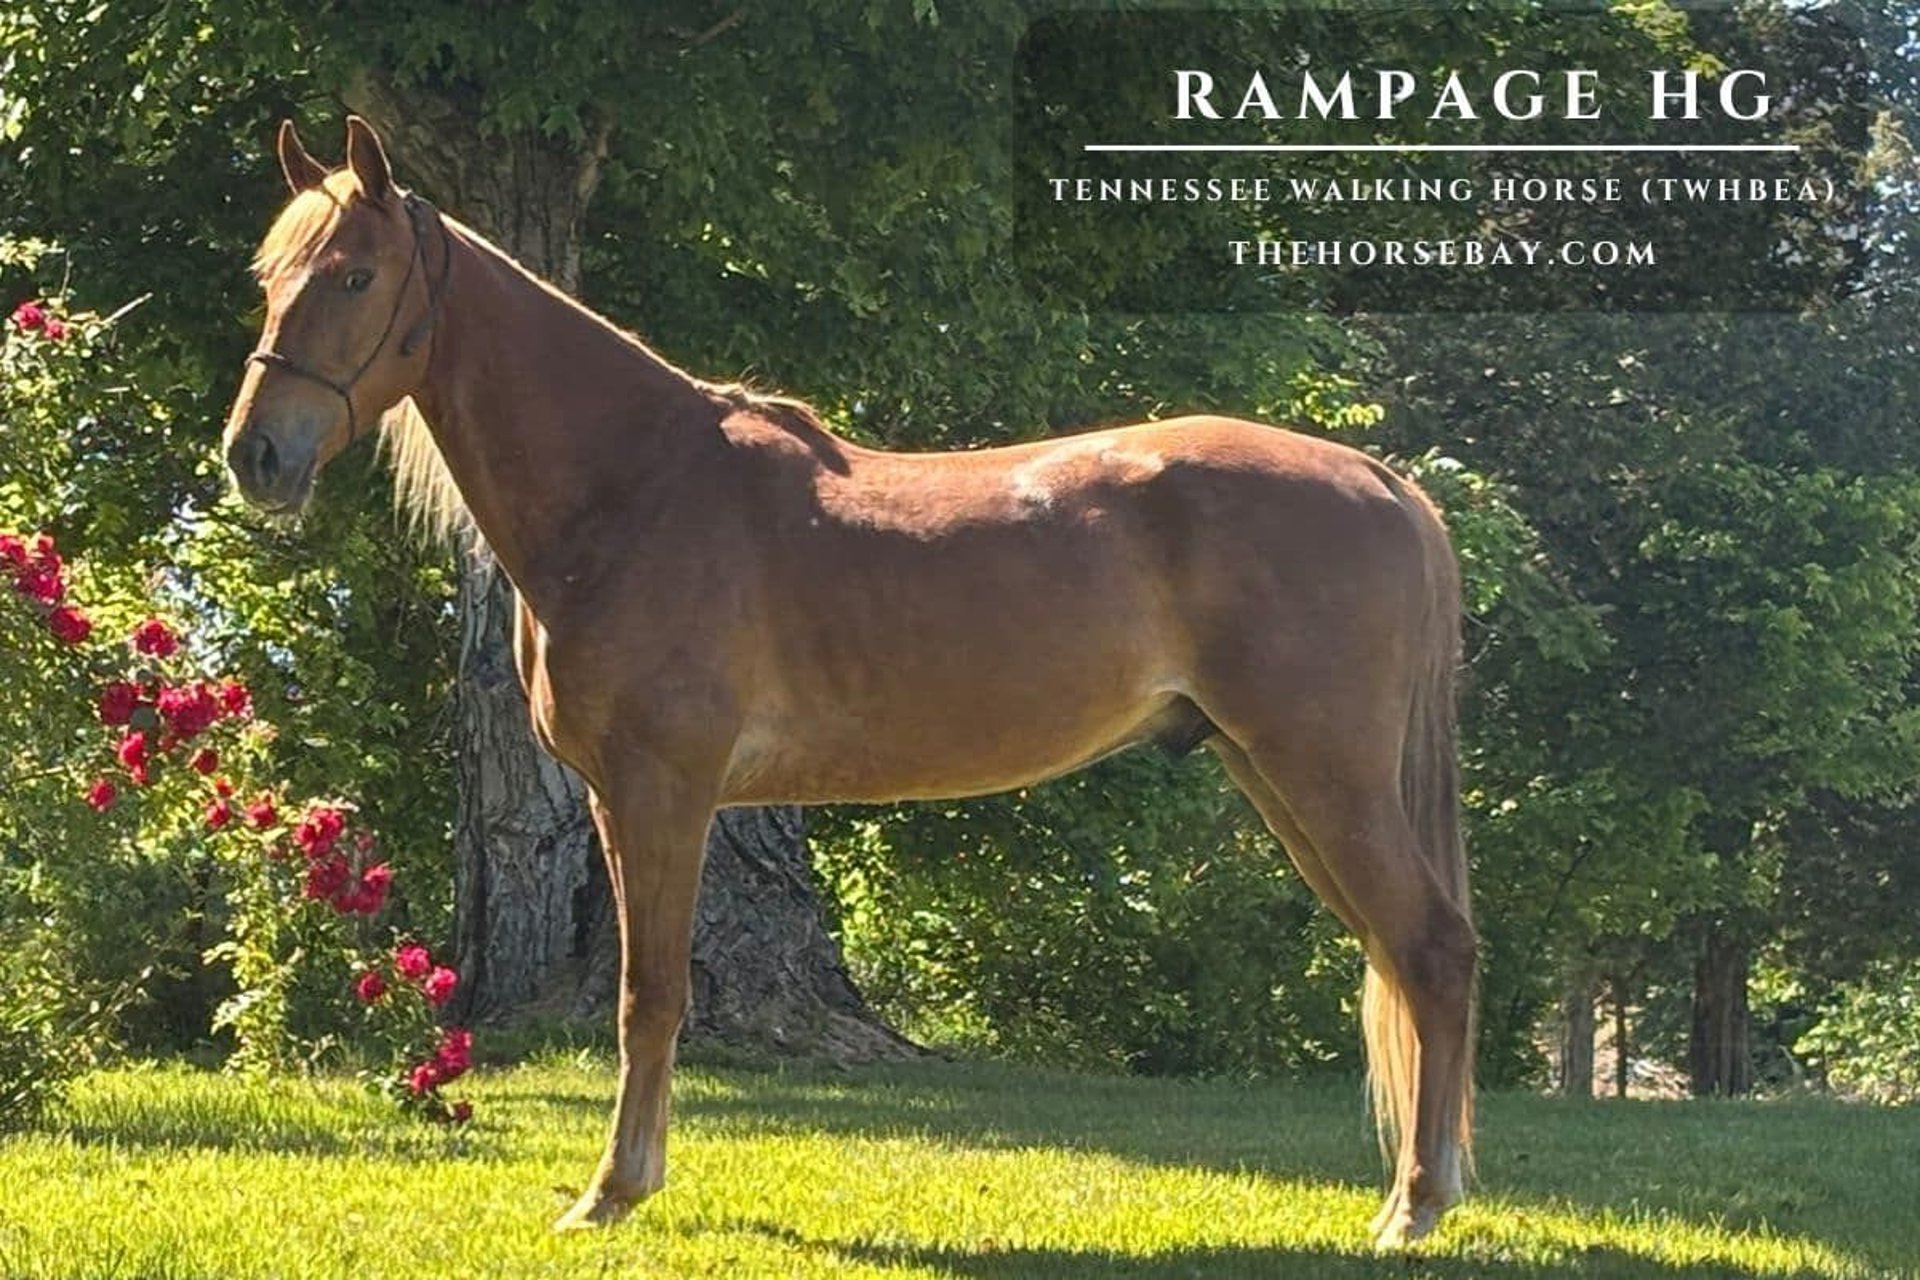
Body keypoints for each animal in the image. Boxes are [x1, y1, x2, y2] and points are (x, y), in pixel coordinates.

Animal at [220, 117, 1477, 1248]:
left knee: (1431, 947)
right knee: (1401, 952)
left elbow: (650, 994)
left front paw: (612, 1192)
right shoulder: (616, 801)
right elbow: (646, 992)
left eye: (354, 274)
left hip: (1323, 773)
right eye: (270, 277)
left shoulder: (662, 788)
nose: (256, 455)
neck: (637, 486)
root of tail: (1380, 479)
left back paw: (1414, 1207)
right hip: (1275, 773)